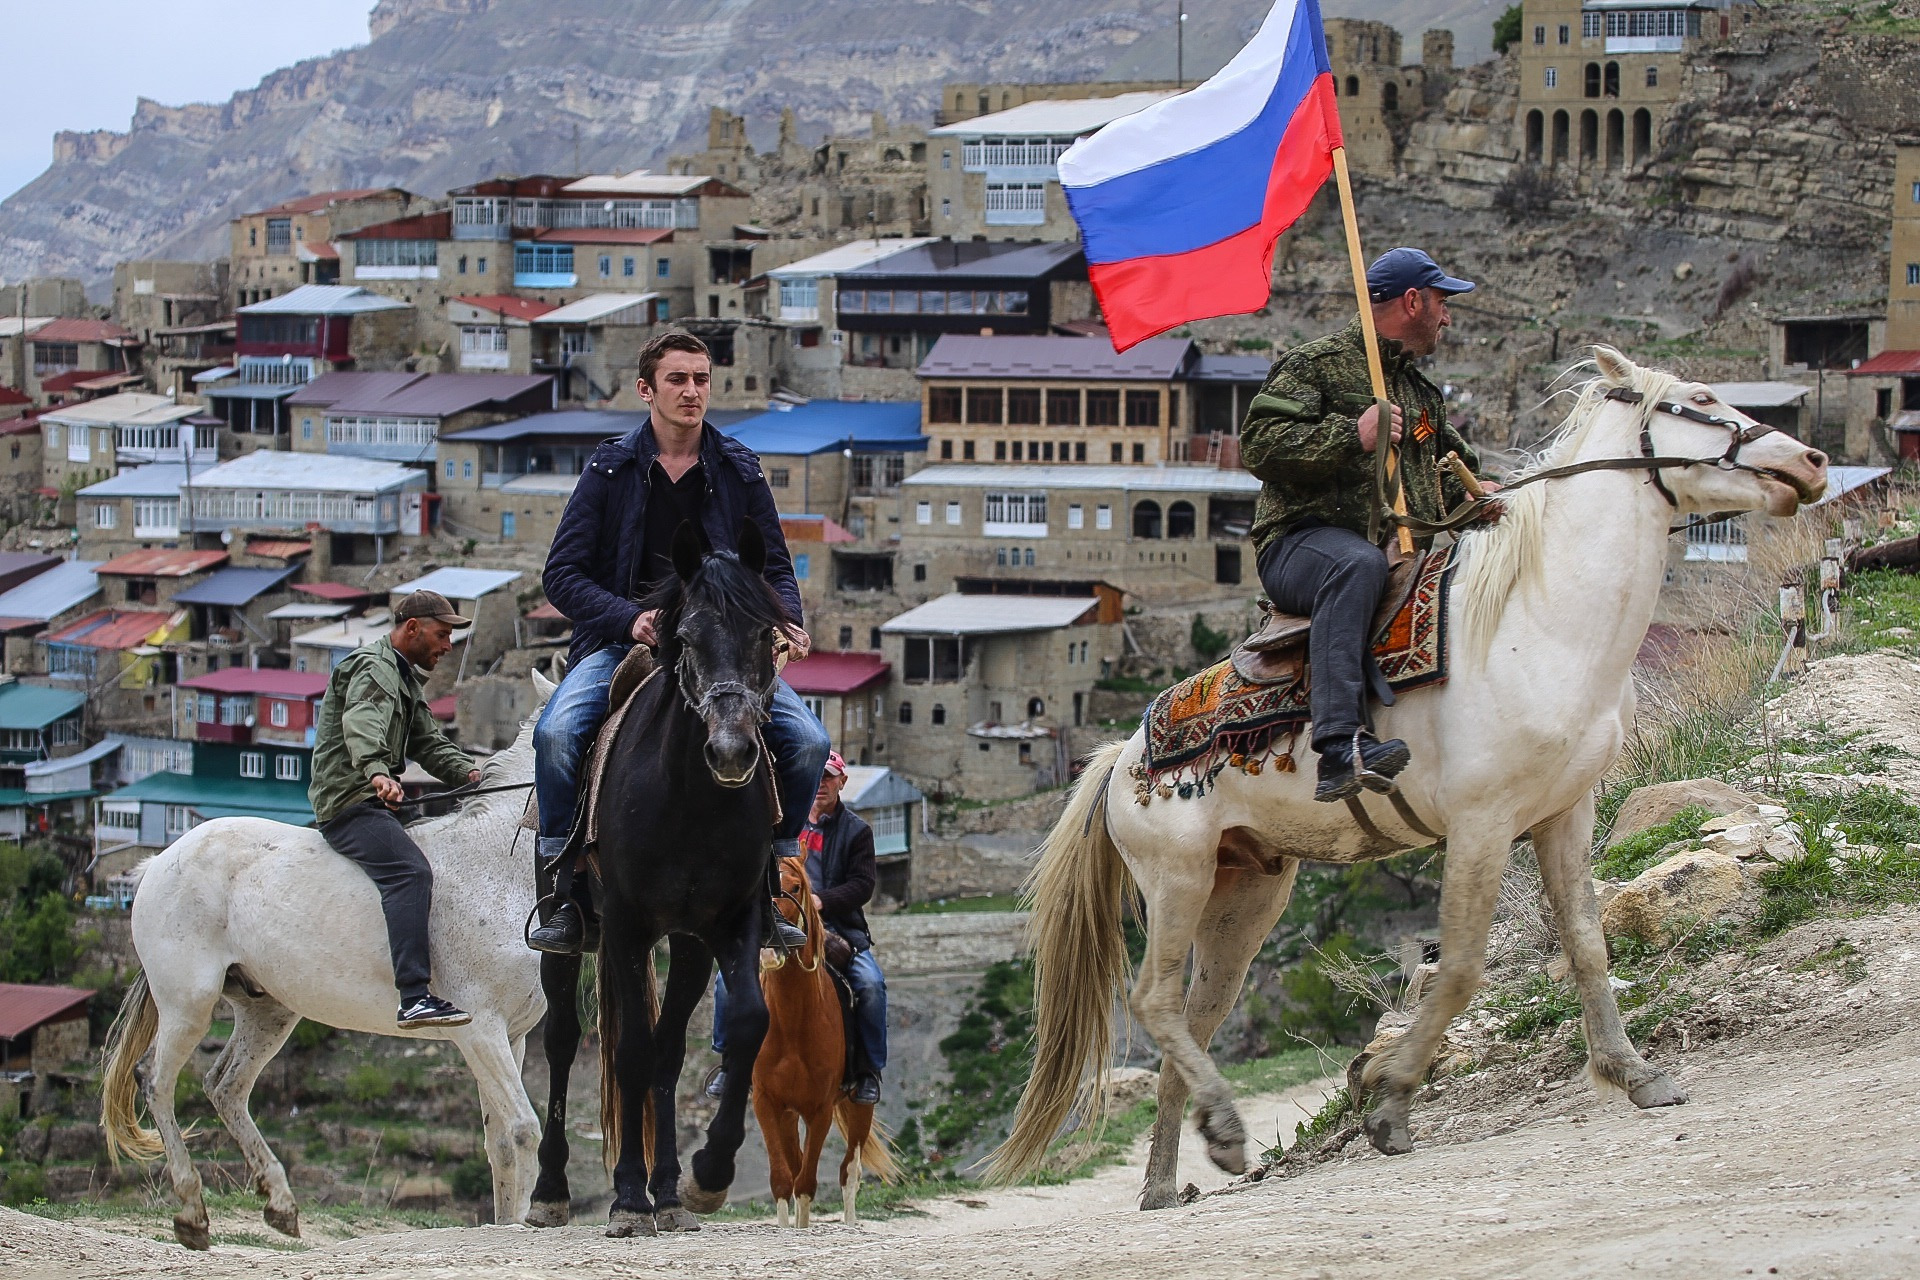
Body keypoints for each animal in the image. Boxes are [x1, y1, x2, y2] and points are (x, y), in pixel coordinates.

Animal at [102, 675, 556, 1243]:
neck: (497, 864)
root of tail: (160, 861)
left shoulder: (510, 1037)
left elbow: (499, 1143)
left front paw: (504, 1222)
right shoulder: (482, 1031)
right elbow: (522, 1130)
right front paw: (518, 1225)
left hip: (268, 1011)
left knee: (225, 1086)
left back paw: (280, 1203)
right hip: (188, 1004)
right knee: (158, 1082)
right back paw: (192, 1213)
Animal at [529, 521, 783, 1243]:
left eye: (766, 633)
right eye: (689, 638)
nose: (732, 752)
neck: (690, 801)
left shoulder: (722, 927)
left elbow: (737, 1028)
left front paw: (703, 1177)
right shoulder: (626, 926)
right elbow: (634, 1053)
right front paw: (625, 1200)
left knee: (666, 1053)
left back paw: (668, 1190)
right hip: (565, 935)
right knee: (563, 1042)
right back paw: (550, 1191)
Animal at [752, 855, 894, 1228]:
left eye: (796, 885)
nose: (769, 947)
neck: (792, 1025)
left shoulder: (820, 1110)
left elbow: (806, 1184)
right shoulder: (766, 1104)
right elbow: (783, 1180)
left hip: (859, 1108)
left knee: (850, 1172)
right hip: (790, 1115)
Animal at [990, 345, 1827, 1205]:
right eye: (1702, 400)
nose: (1811, 463)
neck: (1542, 623)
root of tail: (1122, 754)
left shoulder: (1566, 814)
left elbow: (1589, 946)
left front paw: (1634, 1074)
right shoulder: (1482, 825)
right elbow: (1458, 969)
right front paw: (1389, 1105)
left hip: (1248, 892)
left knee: (1191, 1019)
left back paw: (1169, 1178)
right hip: (1175, 879)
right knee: (1153, 1001)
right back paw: (1222, 1126)